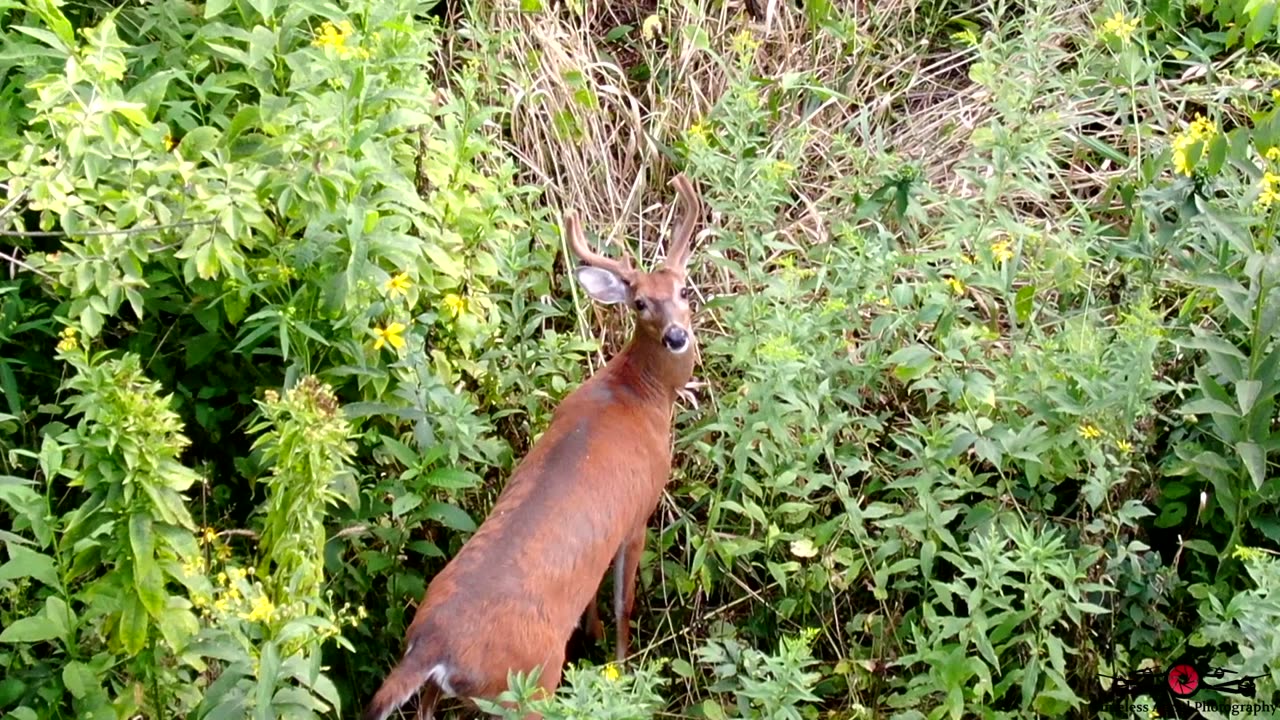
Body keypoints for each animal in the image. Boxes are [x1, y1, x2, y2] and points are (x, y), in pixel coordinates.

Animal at [366, 174, 706, 717]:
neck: (637, 394)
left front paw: (592, 635)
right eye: (640, 303)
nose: (677, 336)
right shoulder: (639, 511)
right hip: (531, 686)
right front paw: (624, 670)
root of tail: (433, 649)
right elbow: (623, 602)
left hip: (443, 690)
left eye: (683, 290)